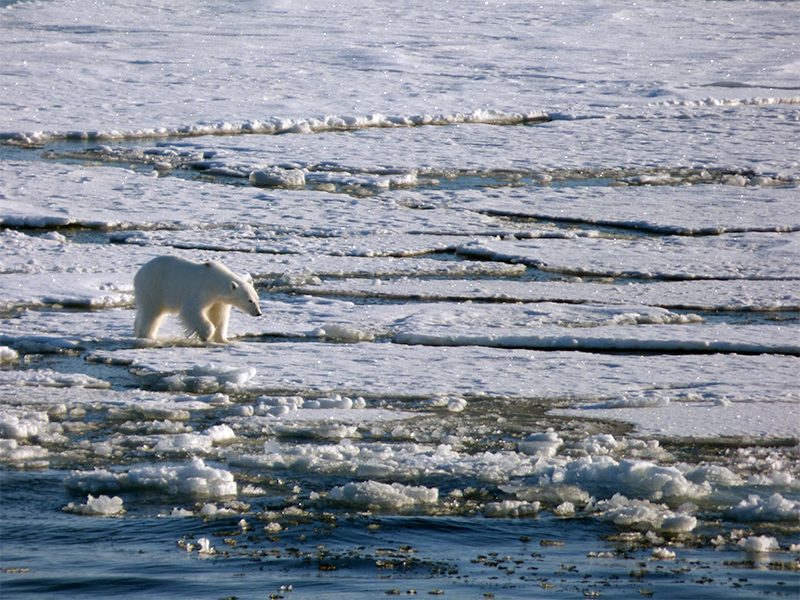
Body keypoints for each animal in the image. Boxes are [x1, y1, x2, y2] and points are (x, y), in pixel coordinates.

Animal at [134, 256, 262, 344]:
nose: (258, 313)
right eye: (250, 300)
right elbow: (191, 310)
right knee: (152, 312)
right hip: (154, 286)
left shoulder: (218, 300)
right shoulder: (201, 291)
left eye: (257, 299)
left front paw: (222, 340)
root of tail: (139, 272)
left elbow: (219, 316)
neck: (215, 283)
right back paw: (147, 336)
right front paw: (205, 336)